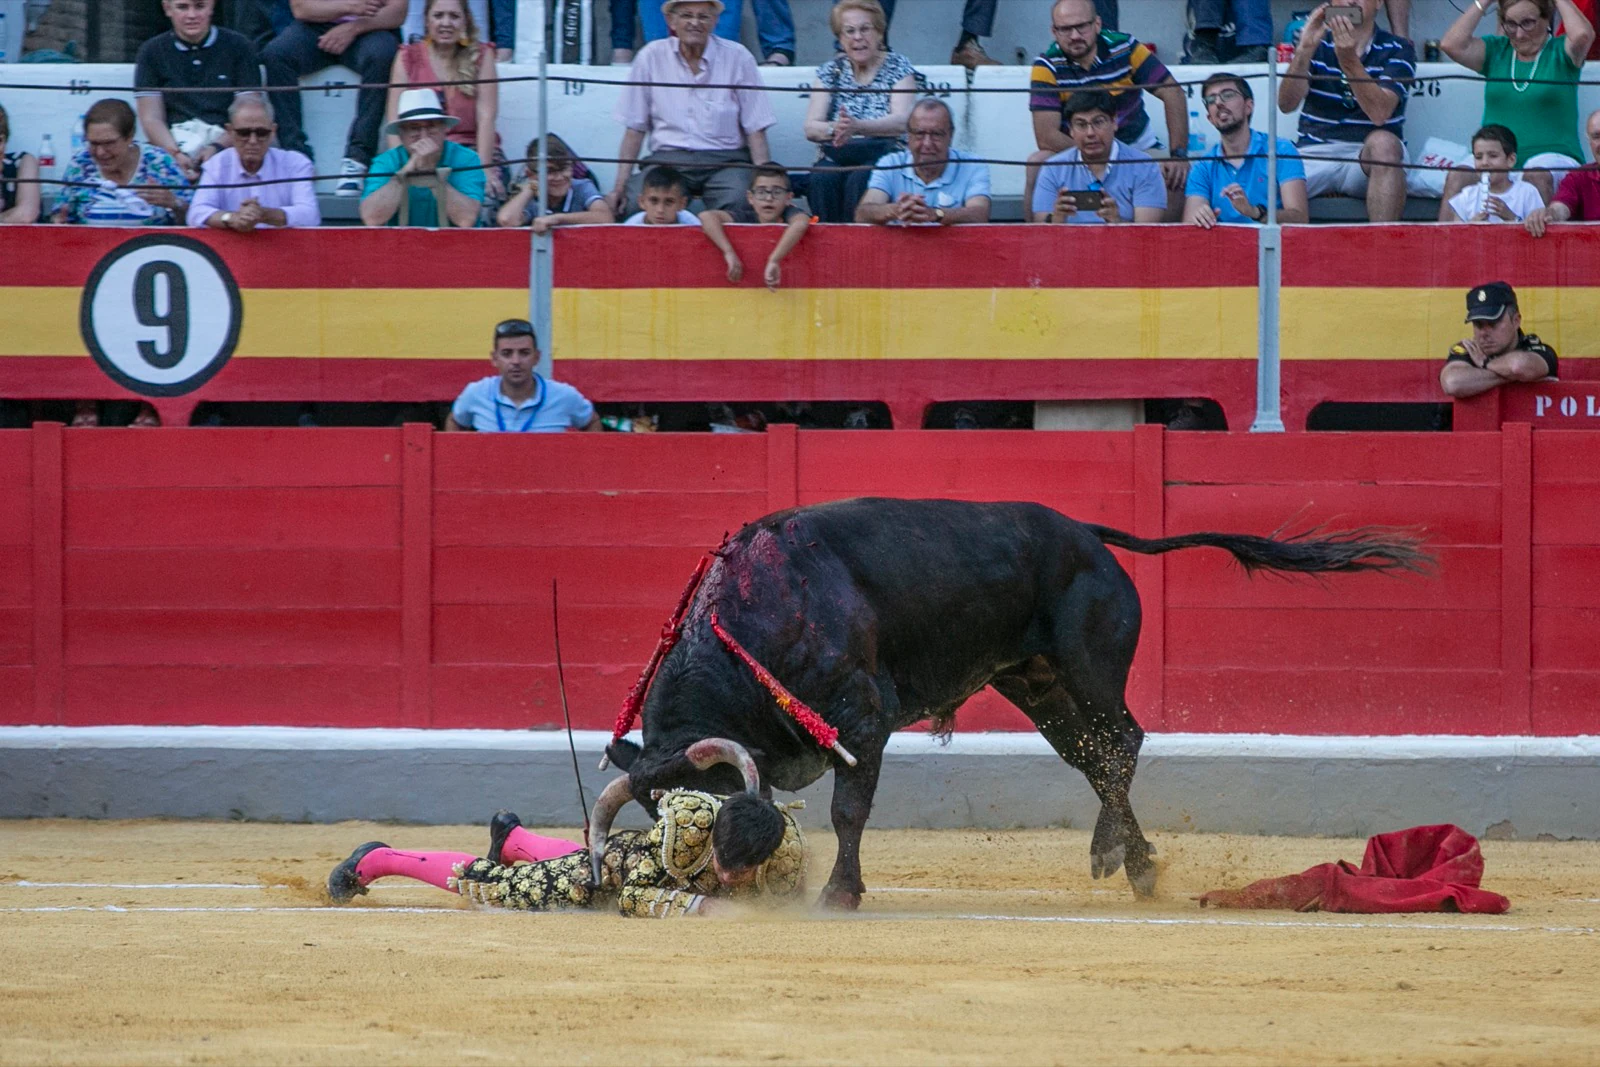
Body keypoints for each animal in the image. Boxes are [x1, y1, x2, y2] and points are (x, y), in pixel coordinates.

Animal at [601, 502, 1427, 908]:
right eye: (656, 814)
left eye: (705, 805)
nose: (698, 878)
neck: (757, 617)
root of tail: (1084, 533)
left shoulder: (863, 719)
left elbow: (848, 810)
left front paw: (838, 892)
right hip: (1039, 686)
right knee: (1098, 758)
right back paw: (1138, 863)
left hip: (1087, 668)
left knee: (1125, 739)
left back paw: (1110, 854)